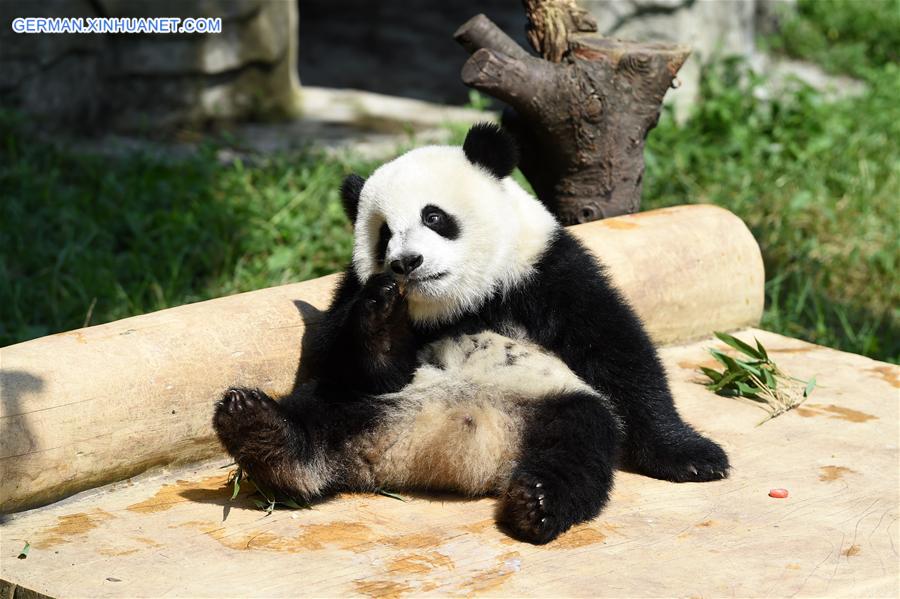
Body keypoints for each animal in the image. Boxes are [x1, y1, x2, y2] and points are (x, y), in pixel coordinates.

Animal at [213, 122, 732, 544]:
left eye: (434, 216)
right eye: (384, 234)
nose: (406, 263)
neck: (460, 302)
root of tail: (444, 445)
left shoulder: (546, 270)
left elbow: (619, 353)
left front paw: (694, 457)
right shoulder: (352, 292)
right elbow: (347, 358)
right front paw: (382, 316)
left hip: (554, 402)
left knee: (581, 445)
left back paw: (535, 503)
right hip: (365, 406)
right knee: (320, 408)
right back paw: (262, 431)